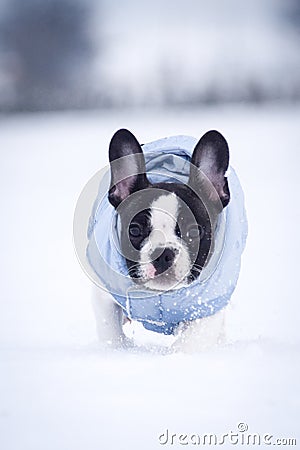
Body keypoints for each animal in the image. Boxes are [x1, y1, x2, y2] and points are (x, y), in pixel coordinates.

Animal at [88, 128, 247, 350]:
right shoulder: (103, 296)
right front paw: (120, 350)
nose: (162, 253)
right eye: (134, 231)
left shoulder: (208, 308)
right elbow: (111, 333)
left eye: (194, 231)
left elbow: (189, 343)